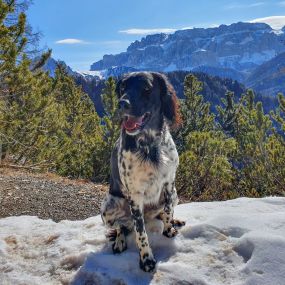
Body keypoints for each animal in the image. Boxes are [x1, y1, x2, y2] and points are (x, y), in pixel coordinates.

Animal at [100, 71, 184, 270]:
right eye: (123, 88)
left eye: (146, 88)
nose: (122, 103)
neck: (149, 146)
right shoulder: (135, 195)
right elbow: (141, 233)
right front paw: (146, 259)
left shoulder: (169, 182)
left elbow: (168, 210)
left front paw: (169, 229)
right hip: (108, 206)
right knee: (122, 227)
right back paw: (120, 242)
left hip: (176, 193)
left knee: (163, 212)